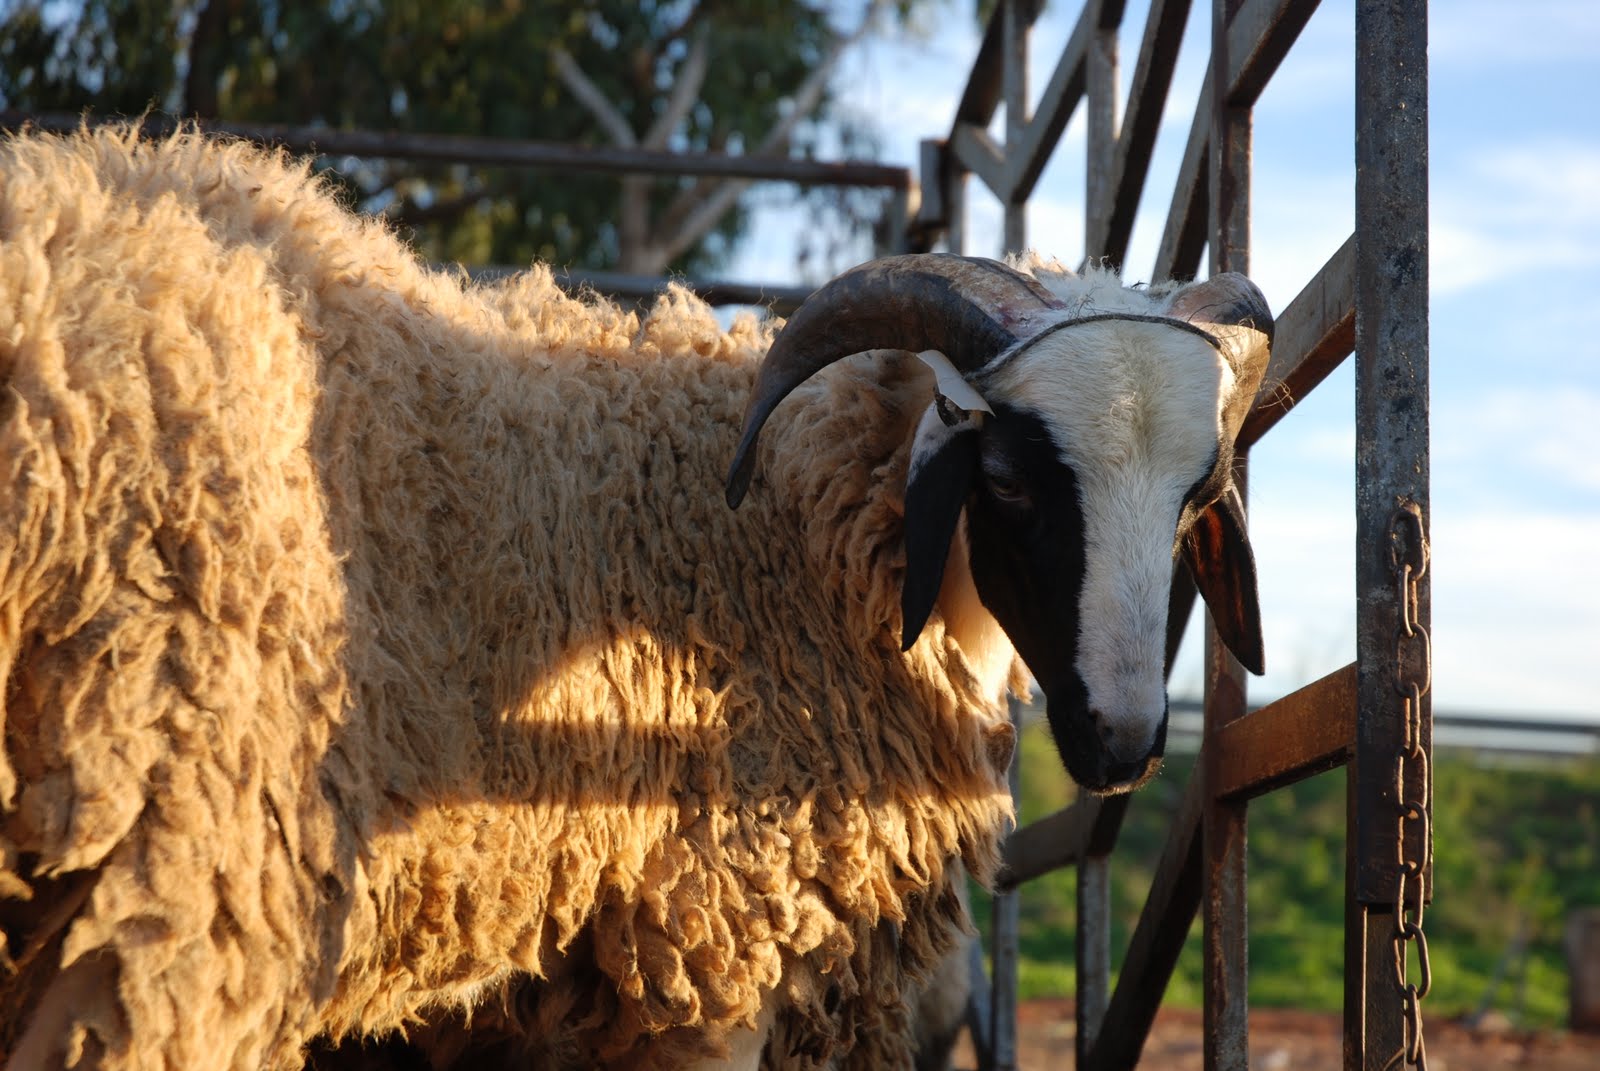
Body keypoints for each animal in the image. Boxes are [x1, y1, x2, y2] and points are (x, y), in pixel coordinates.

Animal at [0, 123, 1270, 1070]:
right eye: (1004, 477)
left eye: (1195, 493)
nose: (1121, 741)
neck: (793, 520)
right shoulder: (714, 933)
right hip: (186, 869)